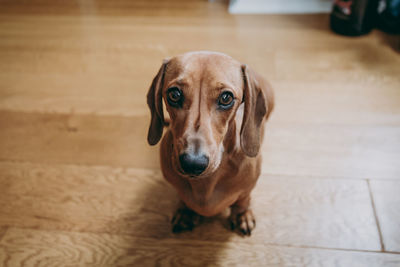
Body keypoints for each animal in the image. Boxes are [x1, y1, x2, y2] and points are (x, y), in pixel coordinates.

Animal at [147, 51, 276, 236]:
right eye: (174, 94)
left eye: (226, 97)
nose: (193, 163)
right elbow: (182, 197)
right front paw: (186, 211)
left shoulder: (248, 187)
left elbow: (243, 199)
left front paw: (242, 215)